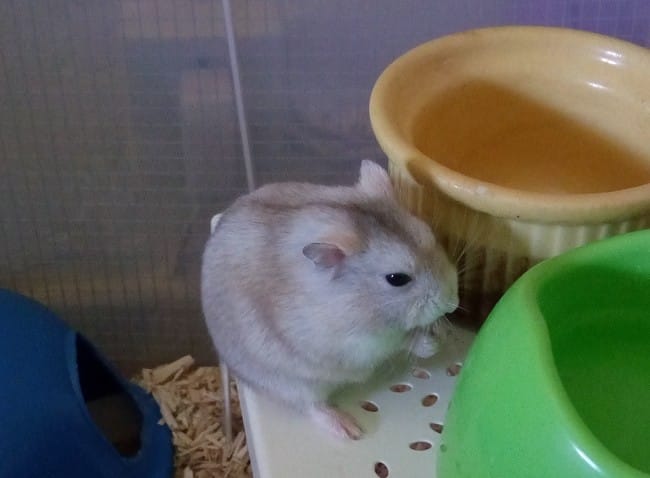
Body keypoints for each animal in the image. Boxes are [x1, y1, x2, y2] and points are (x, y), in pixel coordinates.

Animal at [201, 160, 458, 439]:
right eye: (397, 278)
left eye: (432, 236)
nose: (453, 303)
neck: (360, 300)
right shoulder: (357, 344)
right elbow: (399, 341)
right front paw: (430, 342)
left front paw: (443, 332)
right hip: (290, 384)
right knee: (309, 405)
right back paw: (349, 430)